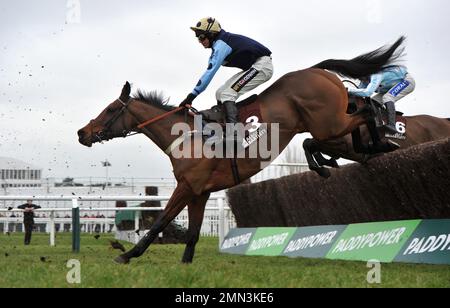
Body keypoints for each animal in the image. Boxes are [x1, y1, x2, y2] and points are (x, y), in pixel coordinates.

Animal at [79, 35, 406, 262]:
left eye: (110, 110)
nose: (83, 133)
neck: (187, 135)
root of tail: (318, 71)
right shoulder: (201, 192)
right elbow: (193, 233)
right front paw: (185, 264)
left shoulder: (186, 187)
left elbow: (160, 221)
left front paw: (127, 254)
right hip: (330, 128)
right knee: (342, 133)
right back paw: (365, 150)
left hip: (329, 124)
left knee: (363, 112)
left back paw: (372, 140)